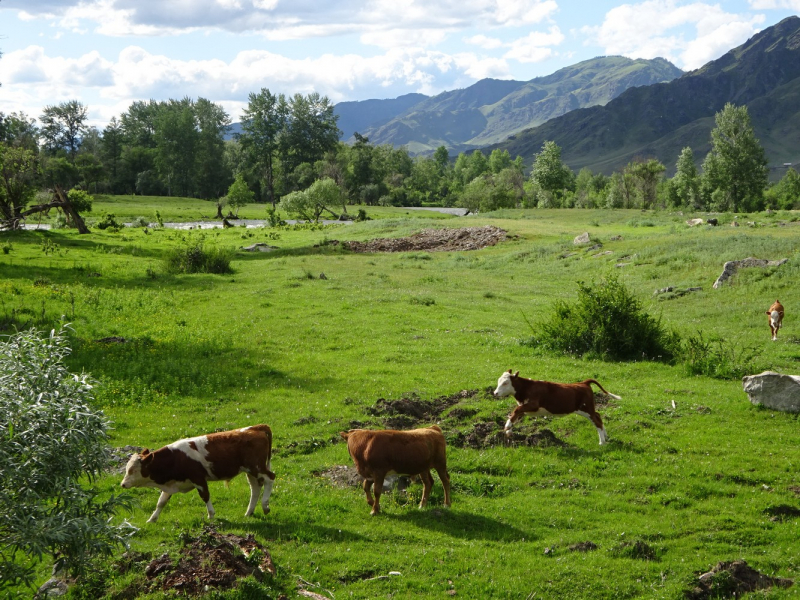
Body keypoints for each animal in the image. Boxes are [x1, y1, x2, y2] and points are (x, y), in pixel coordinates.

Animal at [119, 424, 276, 524]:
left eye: (132, 470)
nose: (123, 484)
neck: (176, 458)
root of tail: (256, 427)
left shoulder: (198, 479)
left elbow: (205, 496)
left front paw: (211, 515)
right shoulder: (171, 484)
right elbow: (161, 502)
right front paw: (152, 519)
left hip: (257, 467)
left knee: (270, 478)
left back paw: (265, 506)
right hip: (250, 471)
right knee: (255, 488)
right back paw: (249, 512)